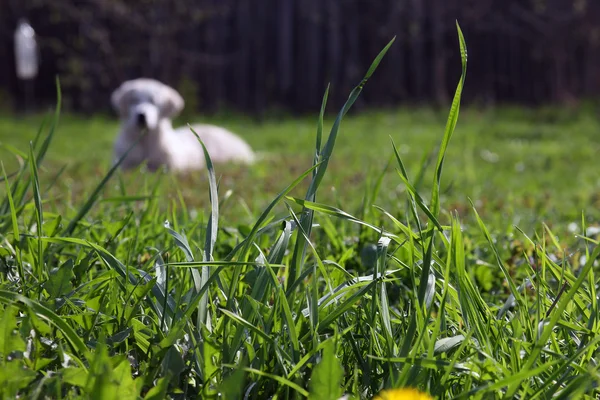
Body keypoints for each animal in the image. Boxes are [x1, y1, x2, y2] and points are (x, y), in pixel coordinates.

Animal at [111, 78, 254, 172]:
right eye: (133, 101)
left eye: (153, 102)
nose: (141, 115)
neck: (144, 141)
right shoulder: (122, 165)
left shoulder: (170, 168)